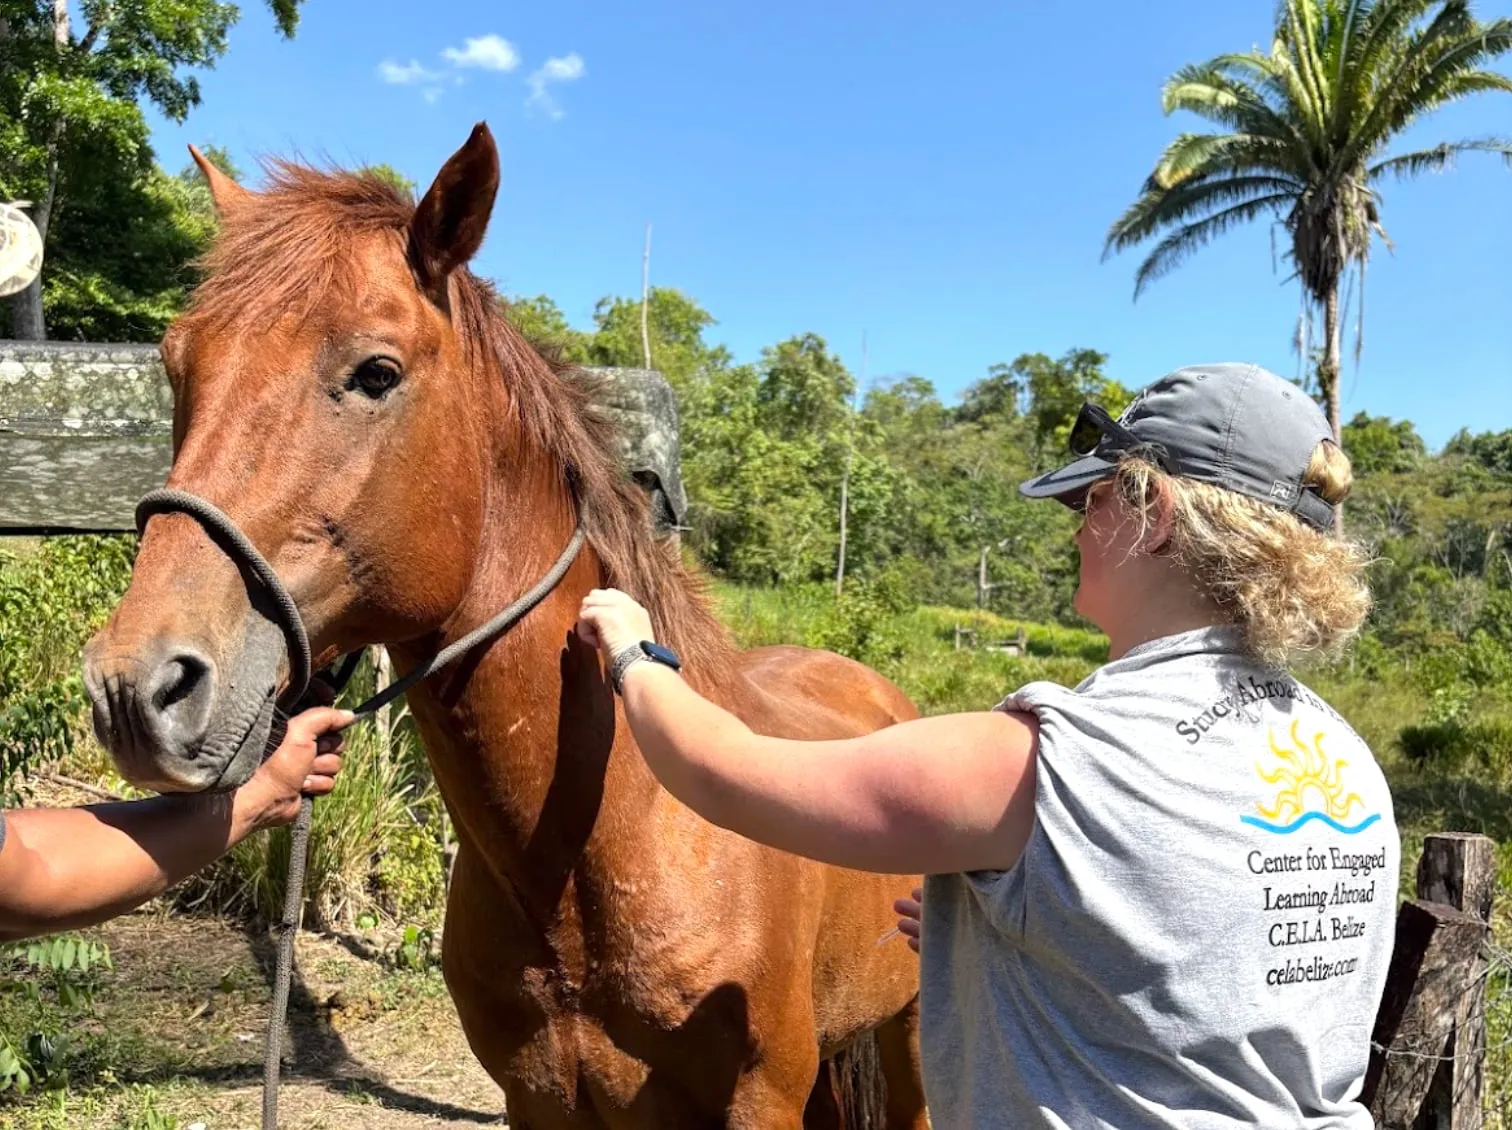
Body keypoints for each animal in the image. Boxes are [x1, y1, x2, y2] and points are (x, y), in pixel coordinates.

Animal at [81, 122, 928, 1129]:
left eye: (377, 373)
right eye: (178, 367)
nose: (136, 688)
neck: (598, 859)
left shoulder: (760, 1102)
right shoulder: (538, 1100)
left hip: (910, 1032)